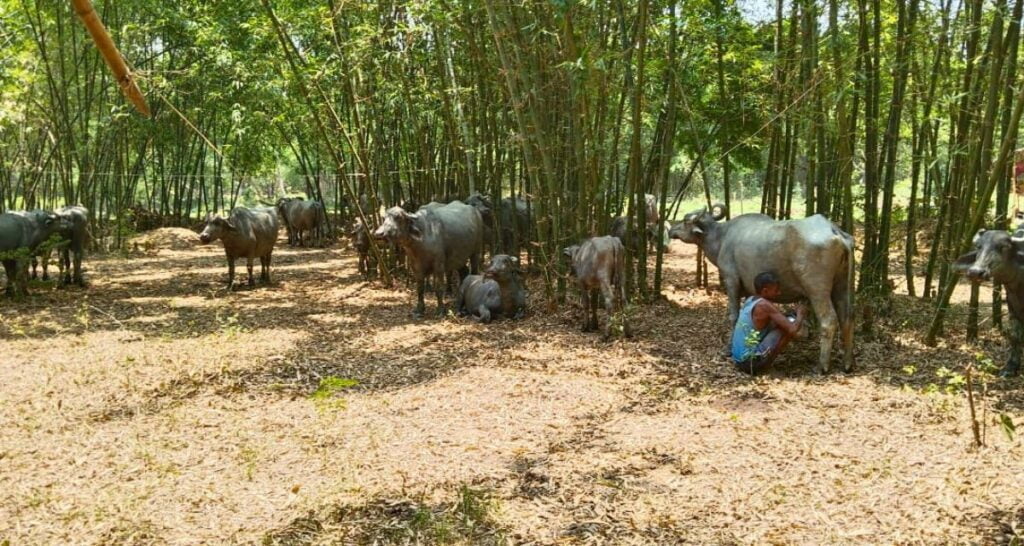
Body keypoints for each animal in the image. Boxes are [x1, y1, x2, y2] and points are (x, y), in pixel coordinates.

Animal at [671, 205, 856, 374]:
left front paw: (727, 350)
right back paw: (847, 364)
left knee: (829, 320)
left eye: (685, 220)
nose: (671, 229)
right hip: (842, 285)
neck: (721, 238)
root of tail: (834, 230)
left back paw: (821, 366)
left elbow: (734, 316)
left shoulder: (731, 281)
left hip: (817, 290)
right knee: (846, 318)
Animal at [954, 225, 1024, 374]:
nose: (975, 272)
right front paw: (1010, 367)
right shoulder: (1012, 302)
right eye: (979, 246)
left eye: (1003, 247)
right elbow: (1015, 335)